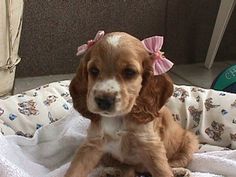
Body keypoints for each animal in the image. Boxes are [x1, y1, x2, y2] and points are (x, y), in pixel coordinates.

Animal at [65, 31, 199, 177]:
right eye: (94, 70)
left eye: (129, 72)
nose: (104, 101)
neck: (118, 118)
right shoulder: (93, 143)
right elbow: (75, 169)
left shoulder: (150, 145)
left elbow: (163, 171)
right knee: (127, 170)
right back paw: (112, 171)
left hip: (190, 141)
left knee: (172, 163)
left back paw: (180, 171)